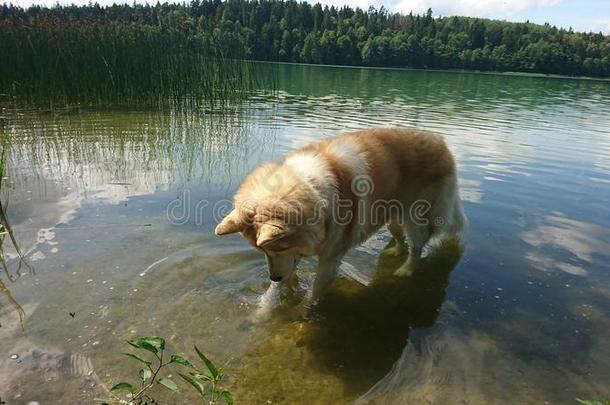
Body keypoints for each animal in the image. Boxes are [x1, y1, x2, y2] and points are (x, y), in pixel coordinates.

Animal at [214, 128, 466, 298]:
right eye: (261, 251)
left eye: (278, 248)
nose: (273, 277)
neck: (312, 188)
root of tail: (439, 140)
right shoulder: (294, 255)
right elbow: (278, 289)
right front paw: (266, 310)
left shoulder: (330, 259)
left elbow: (315, 292)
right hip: (391, 217)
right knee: (400, 238)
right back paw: (394, 252)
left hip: (416, 219)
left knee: (417, 247)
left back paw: (405, 270)